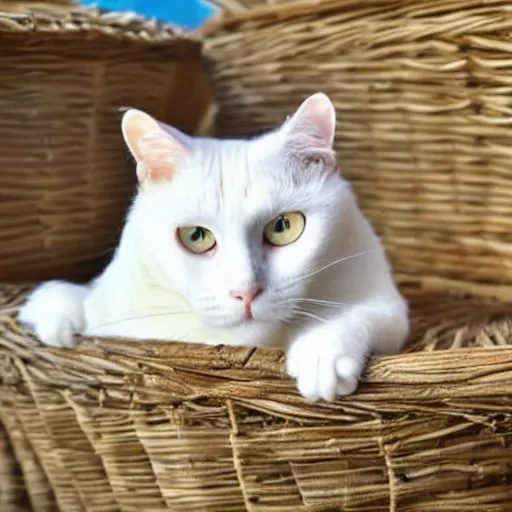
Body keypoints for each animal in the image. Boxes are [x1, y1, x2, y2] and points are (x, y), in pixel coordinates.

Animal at [18, 94, 408, 402]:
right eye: (196, 236)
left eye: (283, 227)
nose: (245, 291)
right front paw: (56, 309)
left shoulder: (386, 301)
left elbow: (367, 314)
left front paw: (321, 352)